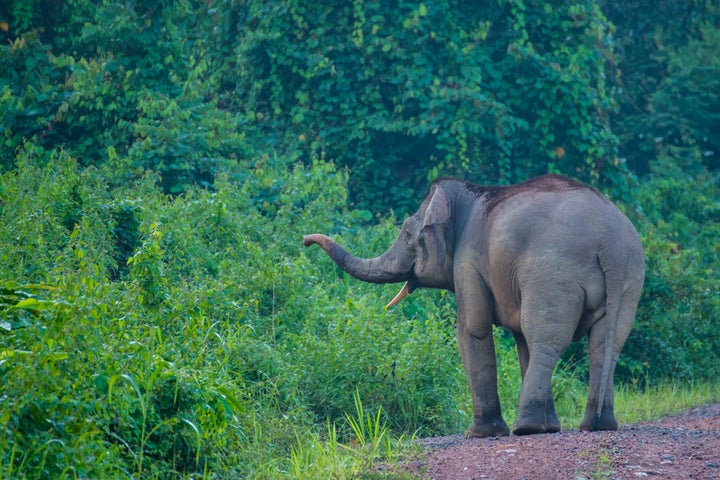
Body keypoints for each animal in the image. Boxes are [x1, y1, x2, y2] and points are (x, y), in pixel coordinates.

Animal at [304, 175, 648, 438]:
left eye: (407, 234)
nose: (306, 240)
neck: (469, 192)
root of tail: (609, 241)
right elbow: (519, 340)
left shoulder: (468, 261)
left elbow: (473, 329)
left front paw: (480, 434)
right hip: (631, 277)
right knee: (605, 344)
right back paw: (595, 426)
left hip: (553, 272)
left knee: (547, 340)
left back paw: (527, 428)